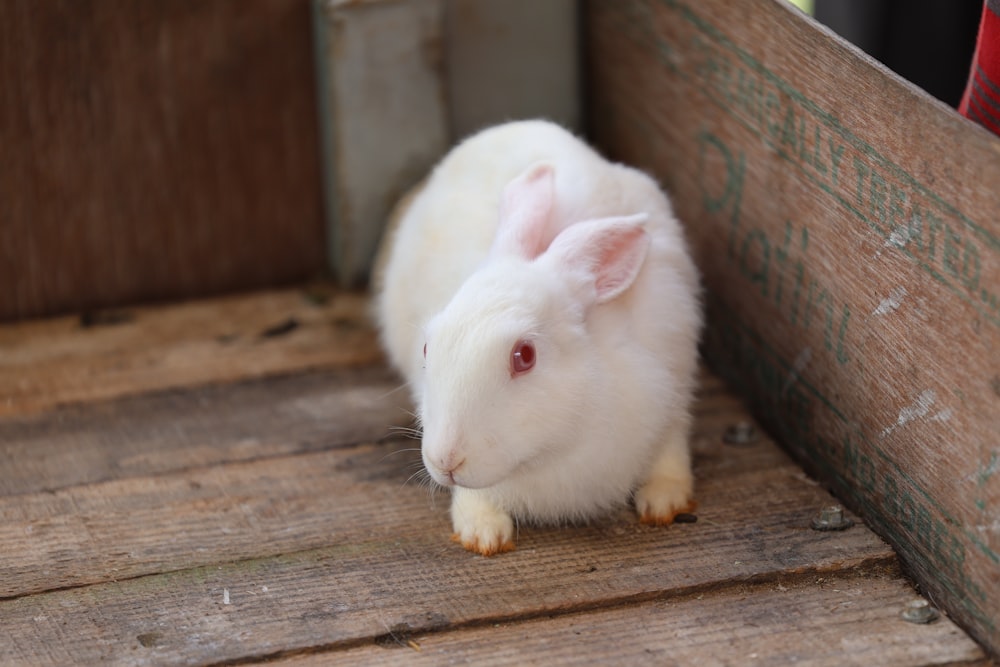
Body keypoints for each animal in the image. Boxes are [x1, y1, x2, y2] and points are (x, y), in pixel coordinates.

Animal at [376, 121, 704, 560]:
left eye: (524, 355)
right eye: (427, 347)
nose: (446, 460)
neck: (553, 450)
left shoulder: (672, 391)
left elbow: (671, 454)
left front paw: (665, 502)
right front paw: (483, 533)